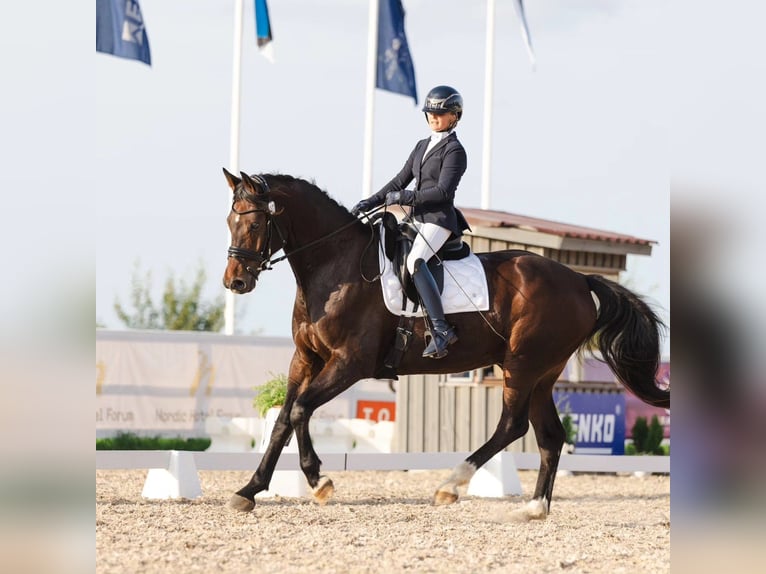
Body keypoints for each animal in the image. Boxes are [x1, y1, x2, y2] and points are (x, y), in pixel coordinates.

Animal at [219, 169, 668, 520]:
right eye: (229, 221)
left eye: (255, 224)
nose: (235, 281)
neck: (336, 266)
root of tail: (579, 279)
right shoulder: (306, 359)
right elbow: (282, 421)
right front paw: (248, 491)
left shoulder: (350, 363)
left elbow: (300, 410)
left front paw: (319, 480)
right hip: (543, 374)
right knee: (549, 436)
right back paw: (533, 508)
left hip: (522, 365)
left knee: (512, 425)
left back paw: (451, 485)